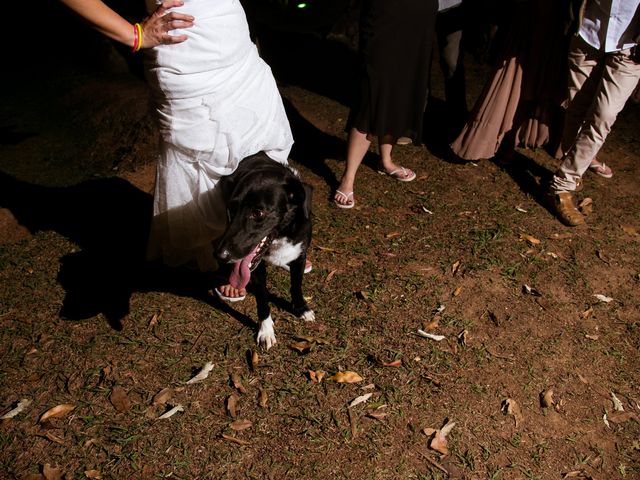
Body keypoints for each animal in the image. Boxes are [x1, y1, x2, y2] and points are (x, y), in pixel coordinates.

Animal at [215, 153, 316, 348]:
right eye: (231, 208)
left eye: (258, 213)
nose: (219, 255)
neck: (280, 236)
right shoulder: (255, 268)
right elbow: (262, 299)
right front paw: (266, 330)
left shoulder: (300, 254)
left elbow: (296, 285)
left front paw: (301, 308)